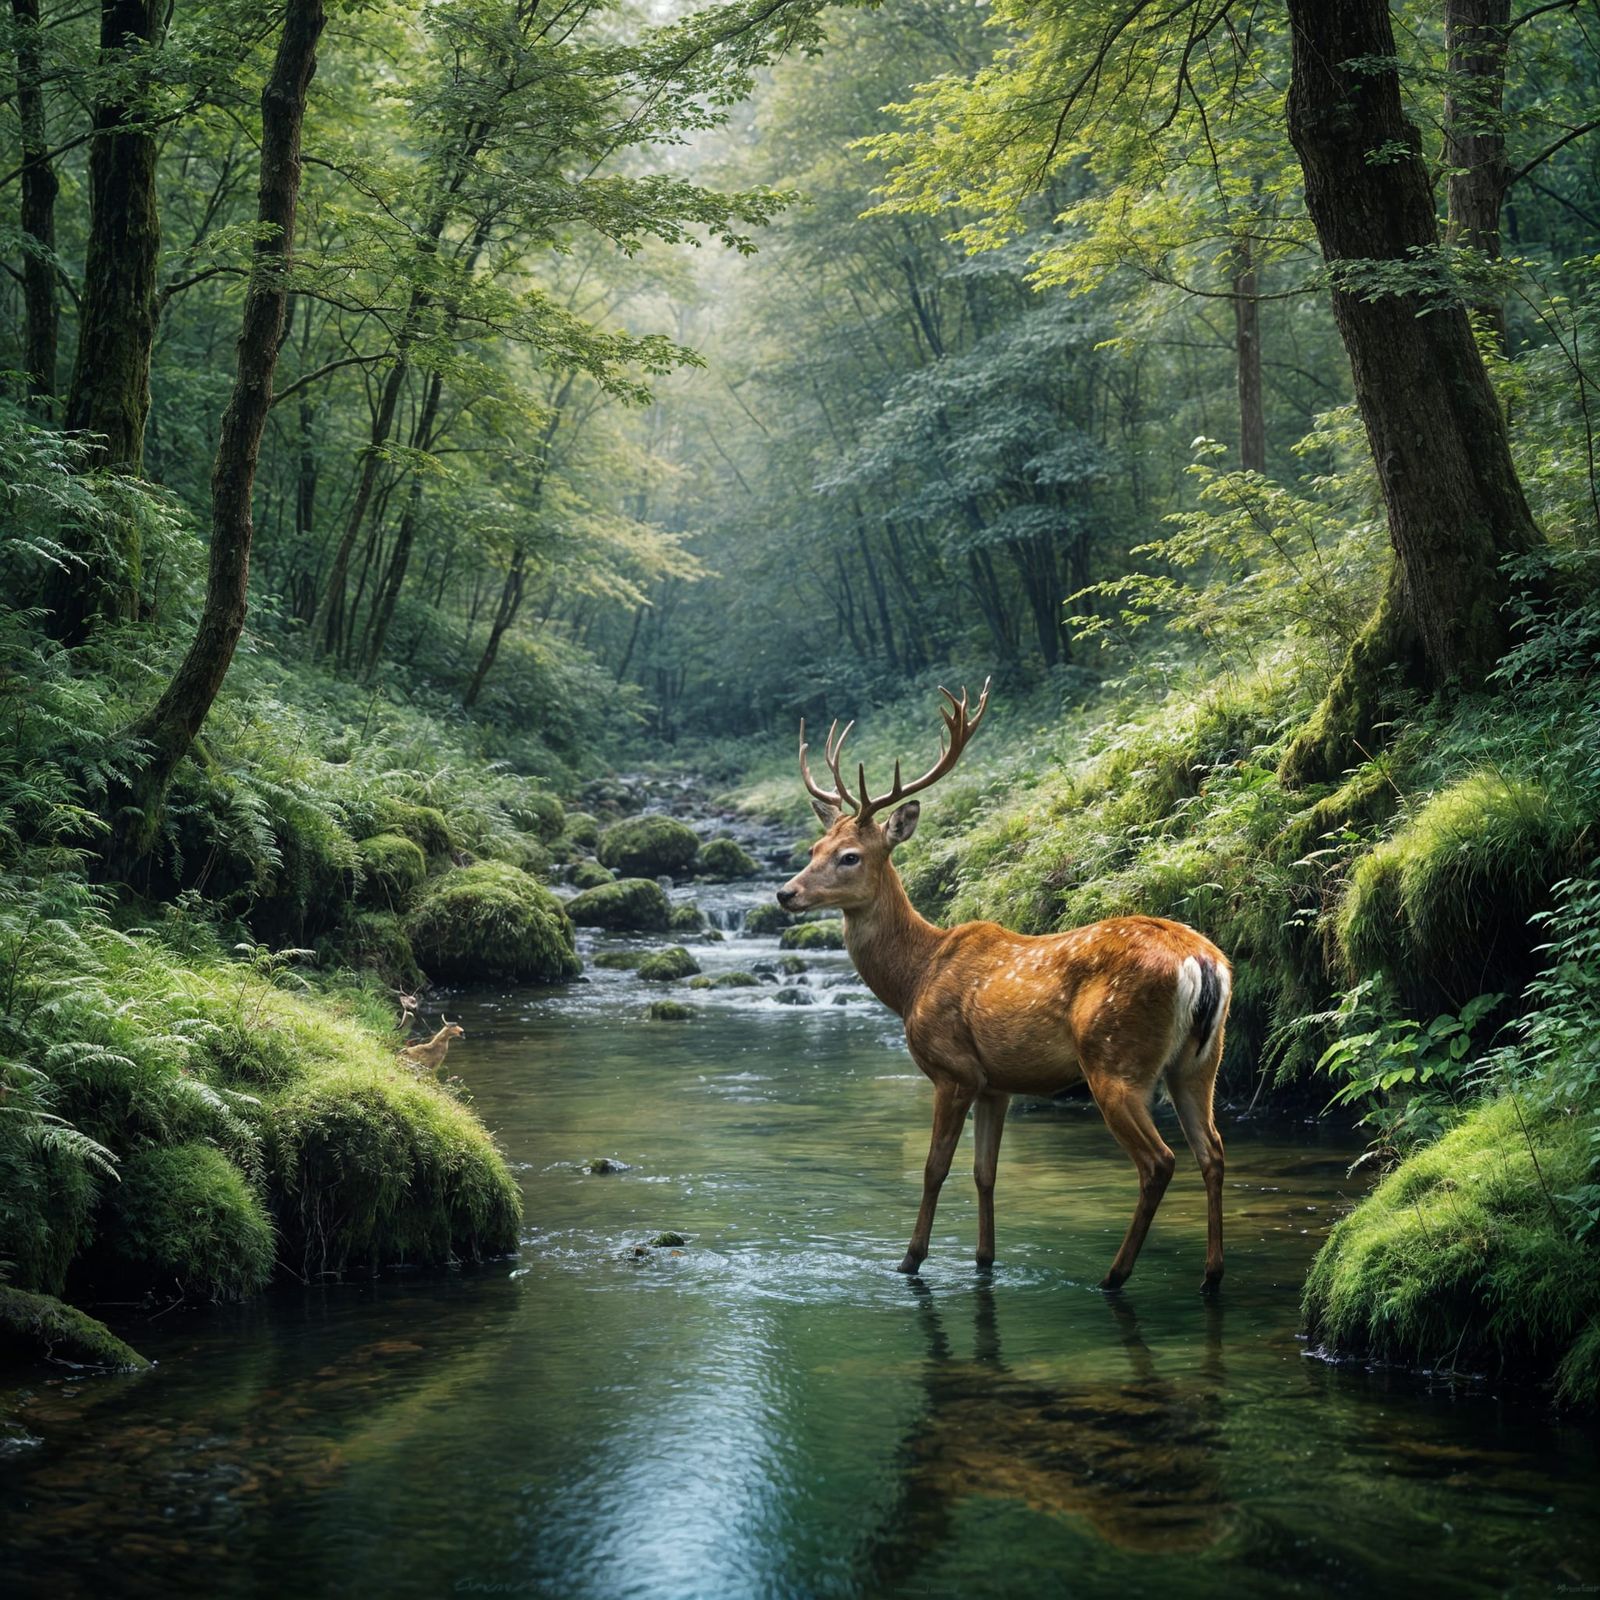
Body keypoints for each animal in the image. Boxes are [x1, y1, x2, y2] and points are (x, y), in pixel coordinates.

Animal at [778, 682, 1232, 1293]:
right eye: (812, 849)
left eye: (850, 856)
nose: (786, 893)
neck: (915, 977)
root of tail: (1201, 963)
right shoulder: (997, 1082)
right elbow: (985, 1172)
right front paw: (984, 1260)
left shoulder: (953, 1068)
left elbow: (935, 1168)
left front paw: (910, 1261)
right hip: (1198, 1063)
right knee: (1213, 1152)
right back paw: (1210, 1276)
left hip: (1116, 1057)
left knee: (1159, 1161)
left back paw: (1114, 1276)